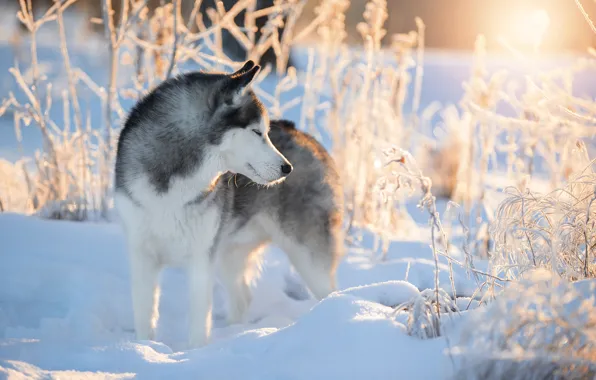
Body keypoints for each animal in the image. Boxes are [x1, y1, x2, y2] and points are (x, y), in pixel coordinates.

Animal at [114, 60, 344, 348]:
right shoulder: (142, 254)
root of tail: (304, 135)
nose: (287, 168)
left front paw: (196, 352)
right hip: (228, 253)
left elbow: (199, 320)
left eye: (266, 132)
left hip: (308, 257)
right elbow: (145, 314)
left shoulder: (201, 257)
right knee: (243, 298)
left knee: (330, 292)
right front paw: (143, 348)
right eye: (257, 131)